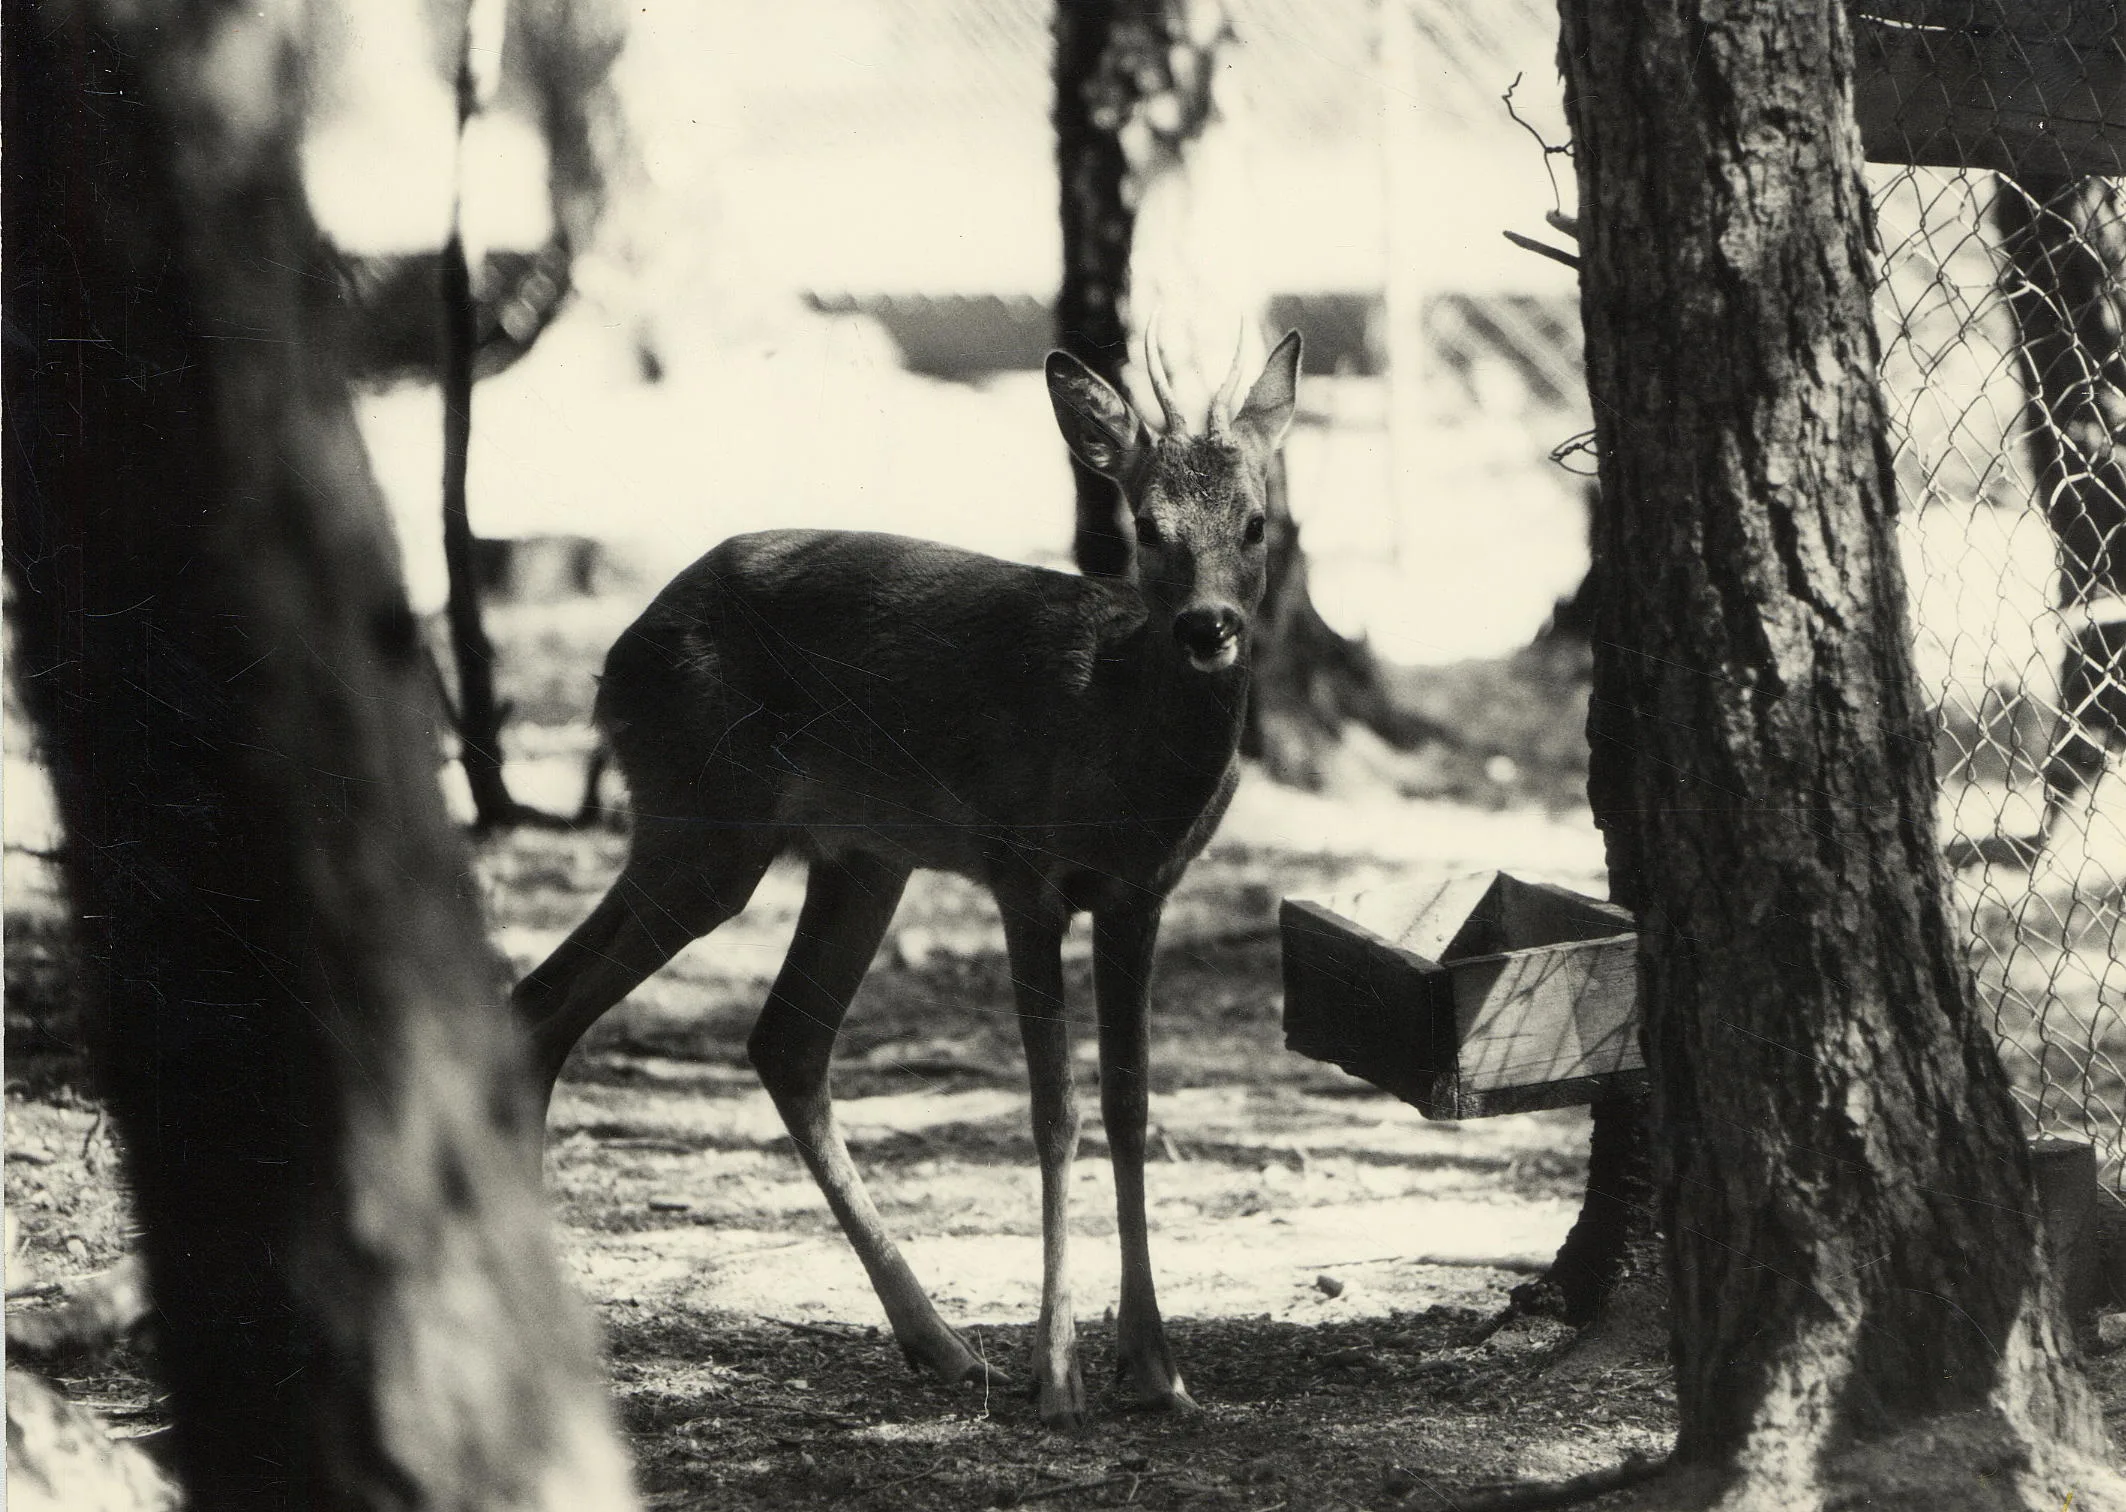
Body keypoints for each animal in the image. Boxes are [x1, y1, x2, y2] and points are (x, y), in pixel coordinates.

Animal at [518, 327, 1292, 1429]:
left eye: (1257, 522)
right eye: (1146, 528)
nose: (1208, 627)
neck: (1116, 739)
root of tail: (614, 660)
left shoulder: (1140, 893)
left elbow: (1130, 1104)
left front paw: (1157, 1367)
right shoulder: (1024, 871)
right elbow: (1053, 1111)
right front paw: (1059, 1375)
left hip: (854, 854)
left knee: (774, 1039)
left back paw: (940, 1344)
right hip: (702, 824)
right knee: (551, 1003)